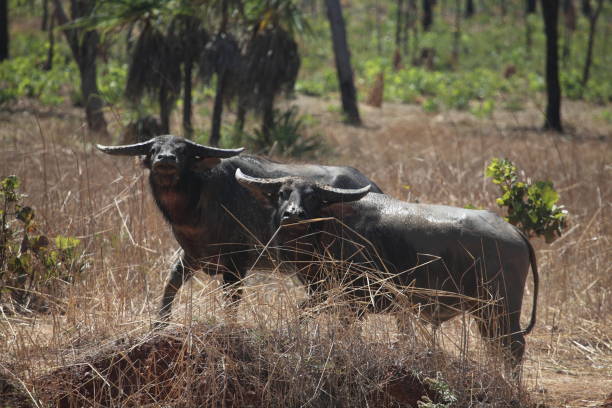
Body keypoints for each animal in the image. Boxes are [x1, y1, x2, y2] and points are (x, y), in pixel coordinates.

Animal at [95, 135, 382, 326]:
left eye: (183, 151)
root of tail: (372, 185)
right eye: (154, 148)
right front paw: (159, 323)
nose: (166, 159)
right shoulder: (191, 256)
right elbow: (171, 284)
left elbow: (231, 302)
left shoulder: (236, 262)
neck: (198, 205)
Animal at [237, 169, 536, 366]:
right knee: (496, 346)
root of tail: (514, 232)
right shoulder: (324, 294)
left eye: (312, 197)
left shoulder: (354, 301)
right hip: (485, 314)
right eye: (282, 194)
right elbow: (304, 311)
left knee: (513, 347)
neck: (331, 227)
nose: (293, 215)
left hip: (501, 309)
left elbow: (346, 330)